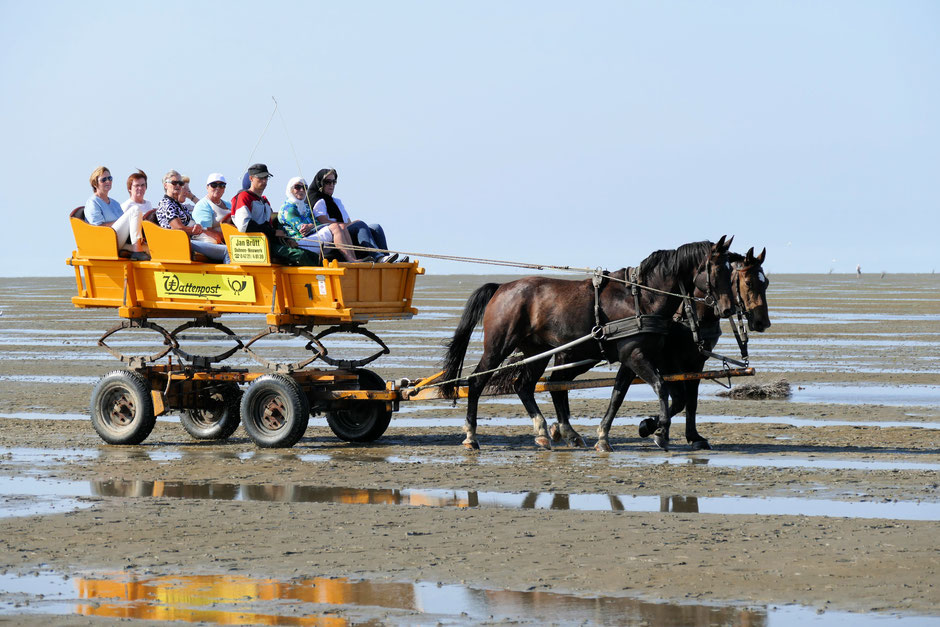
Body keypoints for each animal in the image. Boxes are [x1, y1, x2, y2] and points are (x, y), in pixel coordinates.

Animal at [444, 237, 740, 452]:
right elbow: (660, 387)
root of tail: (502, 287)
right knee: (476, 382)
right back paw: (471, 436)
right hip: (498, 346)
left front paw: (606, 436)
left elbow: (619, 394)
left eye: (732, 271)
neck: (642, 298)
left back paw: (545, 432)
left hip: (539, 351)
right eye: (716, 270)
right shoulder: (635, 355)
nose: (728, 308)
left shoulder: (632, 358)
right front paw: (660, 432)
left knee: (525, 385)